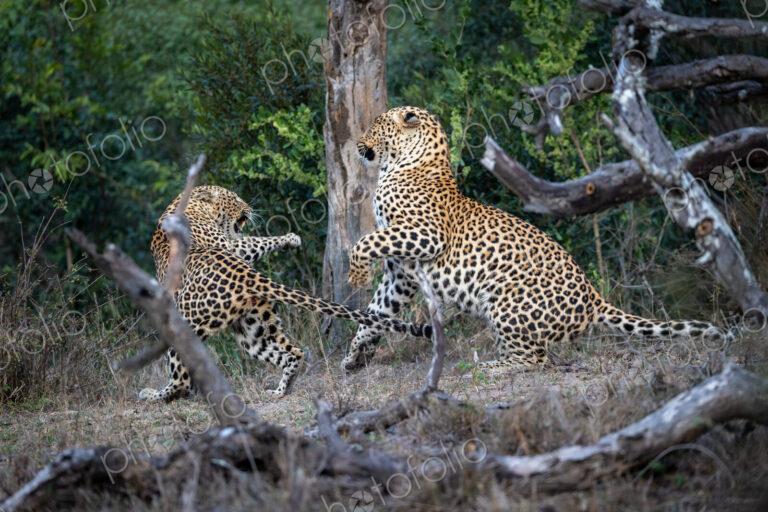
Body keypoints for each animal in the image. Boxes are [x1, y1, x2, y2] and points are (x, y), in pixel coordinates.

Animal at [139, 185, 432, 401]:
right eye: (234, 199)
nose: (249, 209)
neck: (187, 203)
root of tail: (246, 276)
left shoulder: (231, 246)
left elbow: (254, 241)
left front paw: (290, 239)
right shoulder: (231, 246)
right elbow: (253, 242)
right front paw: (291, 238)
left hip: (201, 323)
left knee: (182, 379)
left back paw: (154, 395)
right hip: (253, 326)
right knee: (293, 353)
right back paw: (280, 391)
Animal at [342, 106, 731, 372]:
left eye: (374, 127)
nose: (359, 144)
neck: (404, 165)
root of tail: (594, 299)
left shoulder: (426, 235)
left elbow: (364, 243)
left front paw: (356, 275)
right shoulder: (401, 271)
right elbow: (376, 311)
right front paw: (355, 355)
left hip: (503, 300)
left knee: (535, 358)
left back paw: (490, 367)